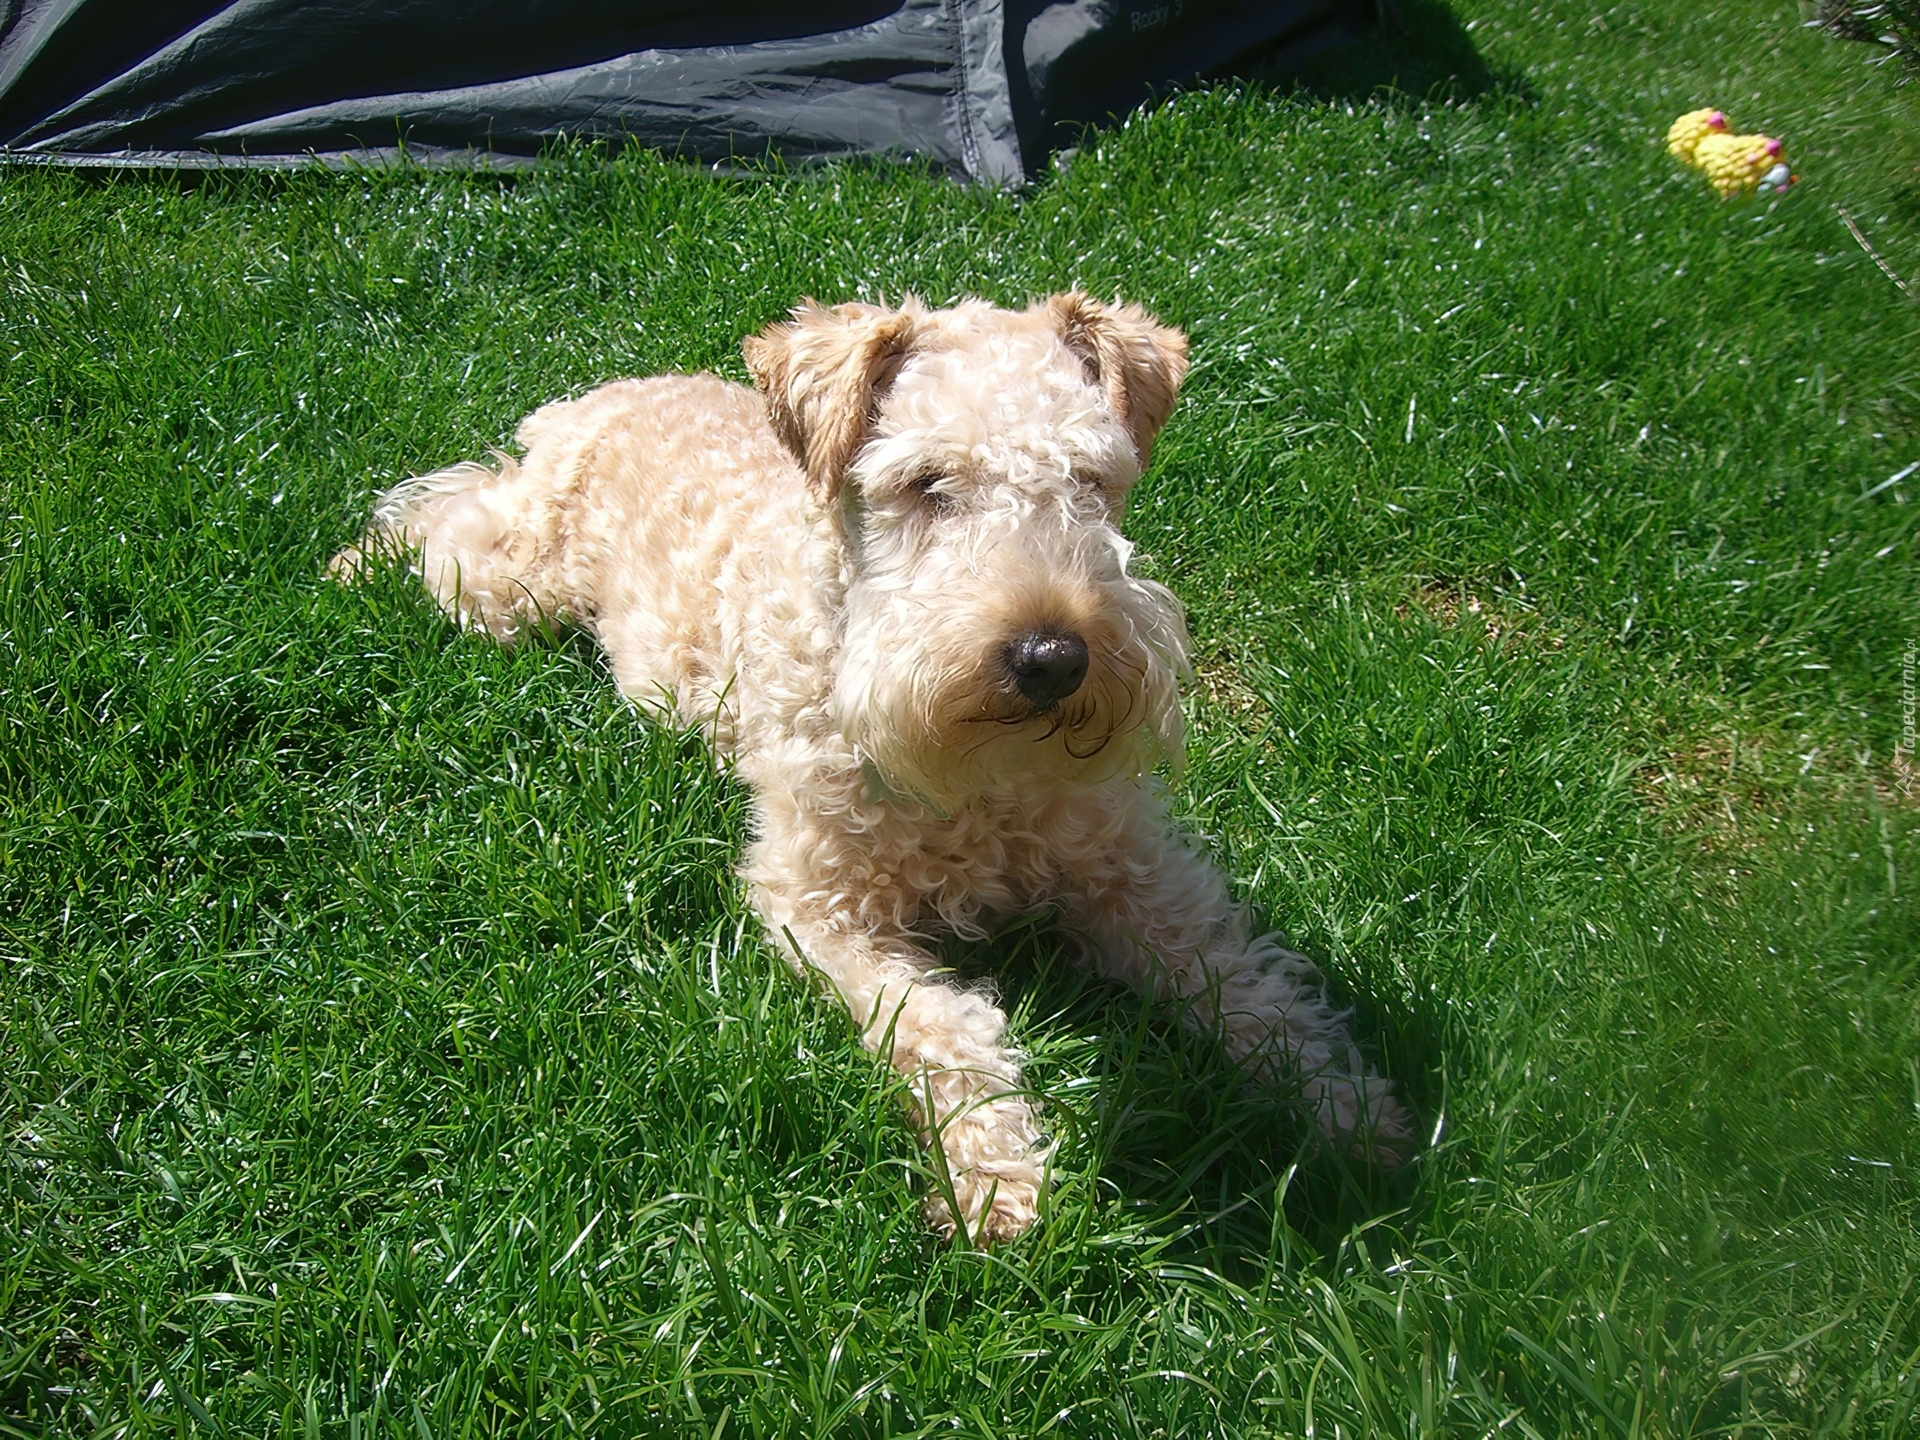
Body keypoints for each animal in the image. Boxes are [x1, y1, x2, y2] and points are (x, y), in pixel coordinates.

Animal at [334, 293, 1413, 1244]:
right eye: (926, 482)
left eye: (1093, 480)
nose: (1052, 658)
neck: (982, 782)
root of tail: (609, 391)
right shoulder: (821, 902)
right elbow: (948, 1028)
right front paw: (997, 1184)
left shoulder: (1138, 876)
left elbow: (1251, 986)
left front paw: (1356, 1116)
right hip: (515, 586)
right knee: (450, 511)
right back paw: (357, 559)